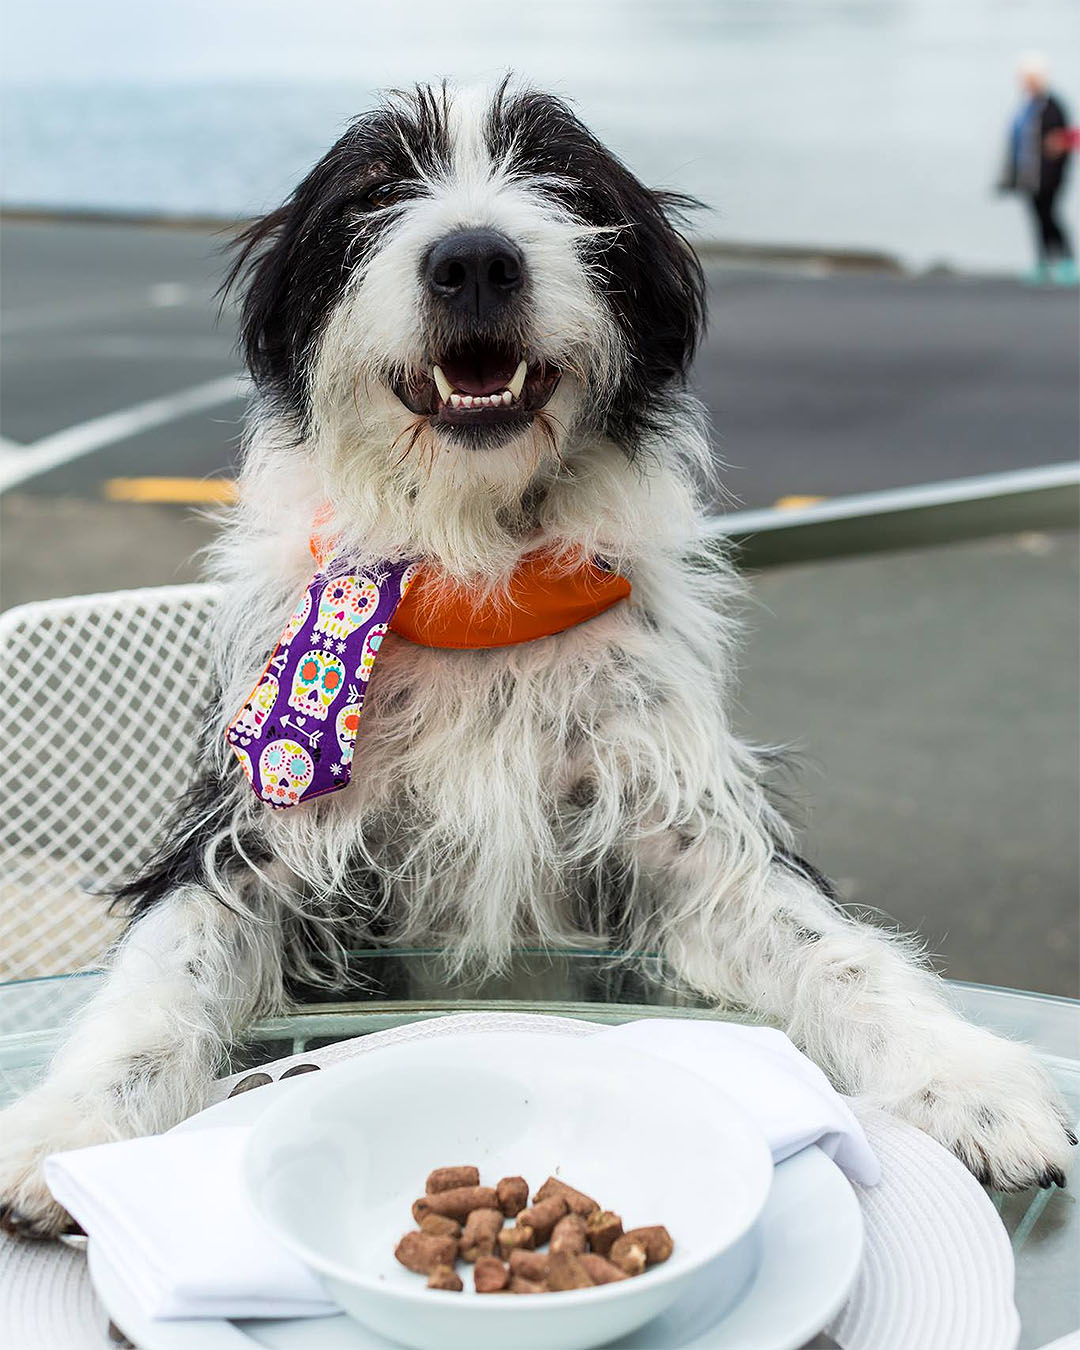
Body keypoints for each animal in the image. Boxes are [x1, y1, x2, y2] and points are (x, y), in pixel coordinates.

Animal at [0, 78, 1069, 1231]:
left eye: (559, 179)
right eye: (376, 187)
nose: (475, 259)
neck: (479, 583)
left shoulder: (681, 838)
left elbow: (835, 952)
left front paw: (966, 1076)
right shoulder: (256, 839)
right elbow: (161, 973)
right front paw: (67, 1126)